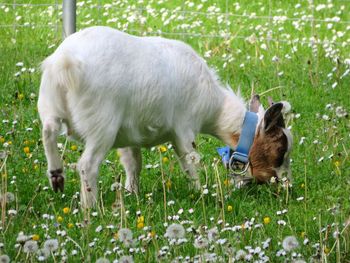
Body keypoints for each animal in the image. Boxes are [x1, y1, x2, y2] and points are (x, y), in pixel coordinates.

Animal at [37, 26, 292, 208]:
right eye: (280, 151)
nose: (286, 186)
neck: (214, 105)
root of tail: (64, 62)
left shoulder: (128, 134)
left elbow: (133, 163)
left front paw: (132, 192)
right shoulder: (184, 129)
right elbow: (190, 162)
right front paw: (200, 192)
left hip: (50, 105)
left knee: (48, 130)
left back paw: (56, 175)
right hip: (102, 124)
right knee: (86, 165)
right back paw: (90, 208)